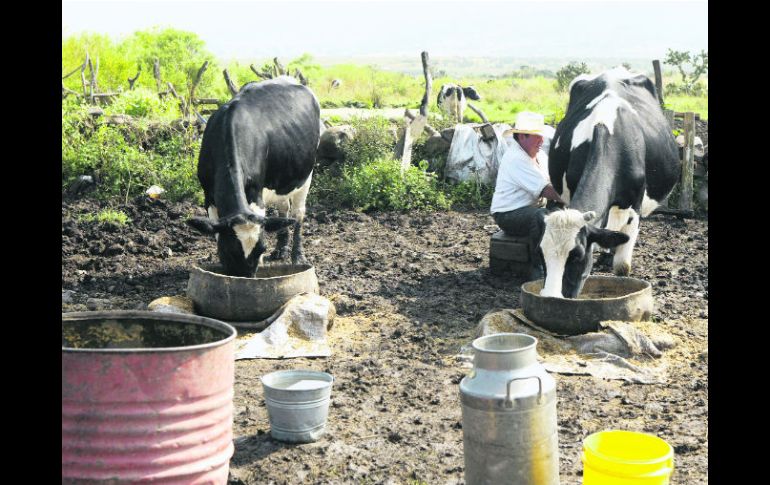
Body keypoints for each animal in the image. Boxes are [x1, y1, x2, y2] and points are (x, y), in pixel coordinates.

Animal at [188, 76, 320, 276]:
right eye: (228, 251)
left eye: (261, 249)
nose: (245, 278)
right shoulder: (208, 196)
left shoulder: (256, 193)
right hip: (282, 182)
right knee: (283, 210)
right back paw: (281, 250)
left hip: (306, 176)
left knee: (298, 214)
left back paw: (298, 256)